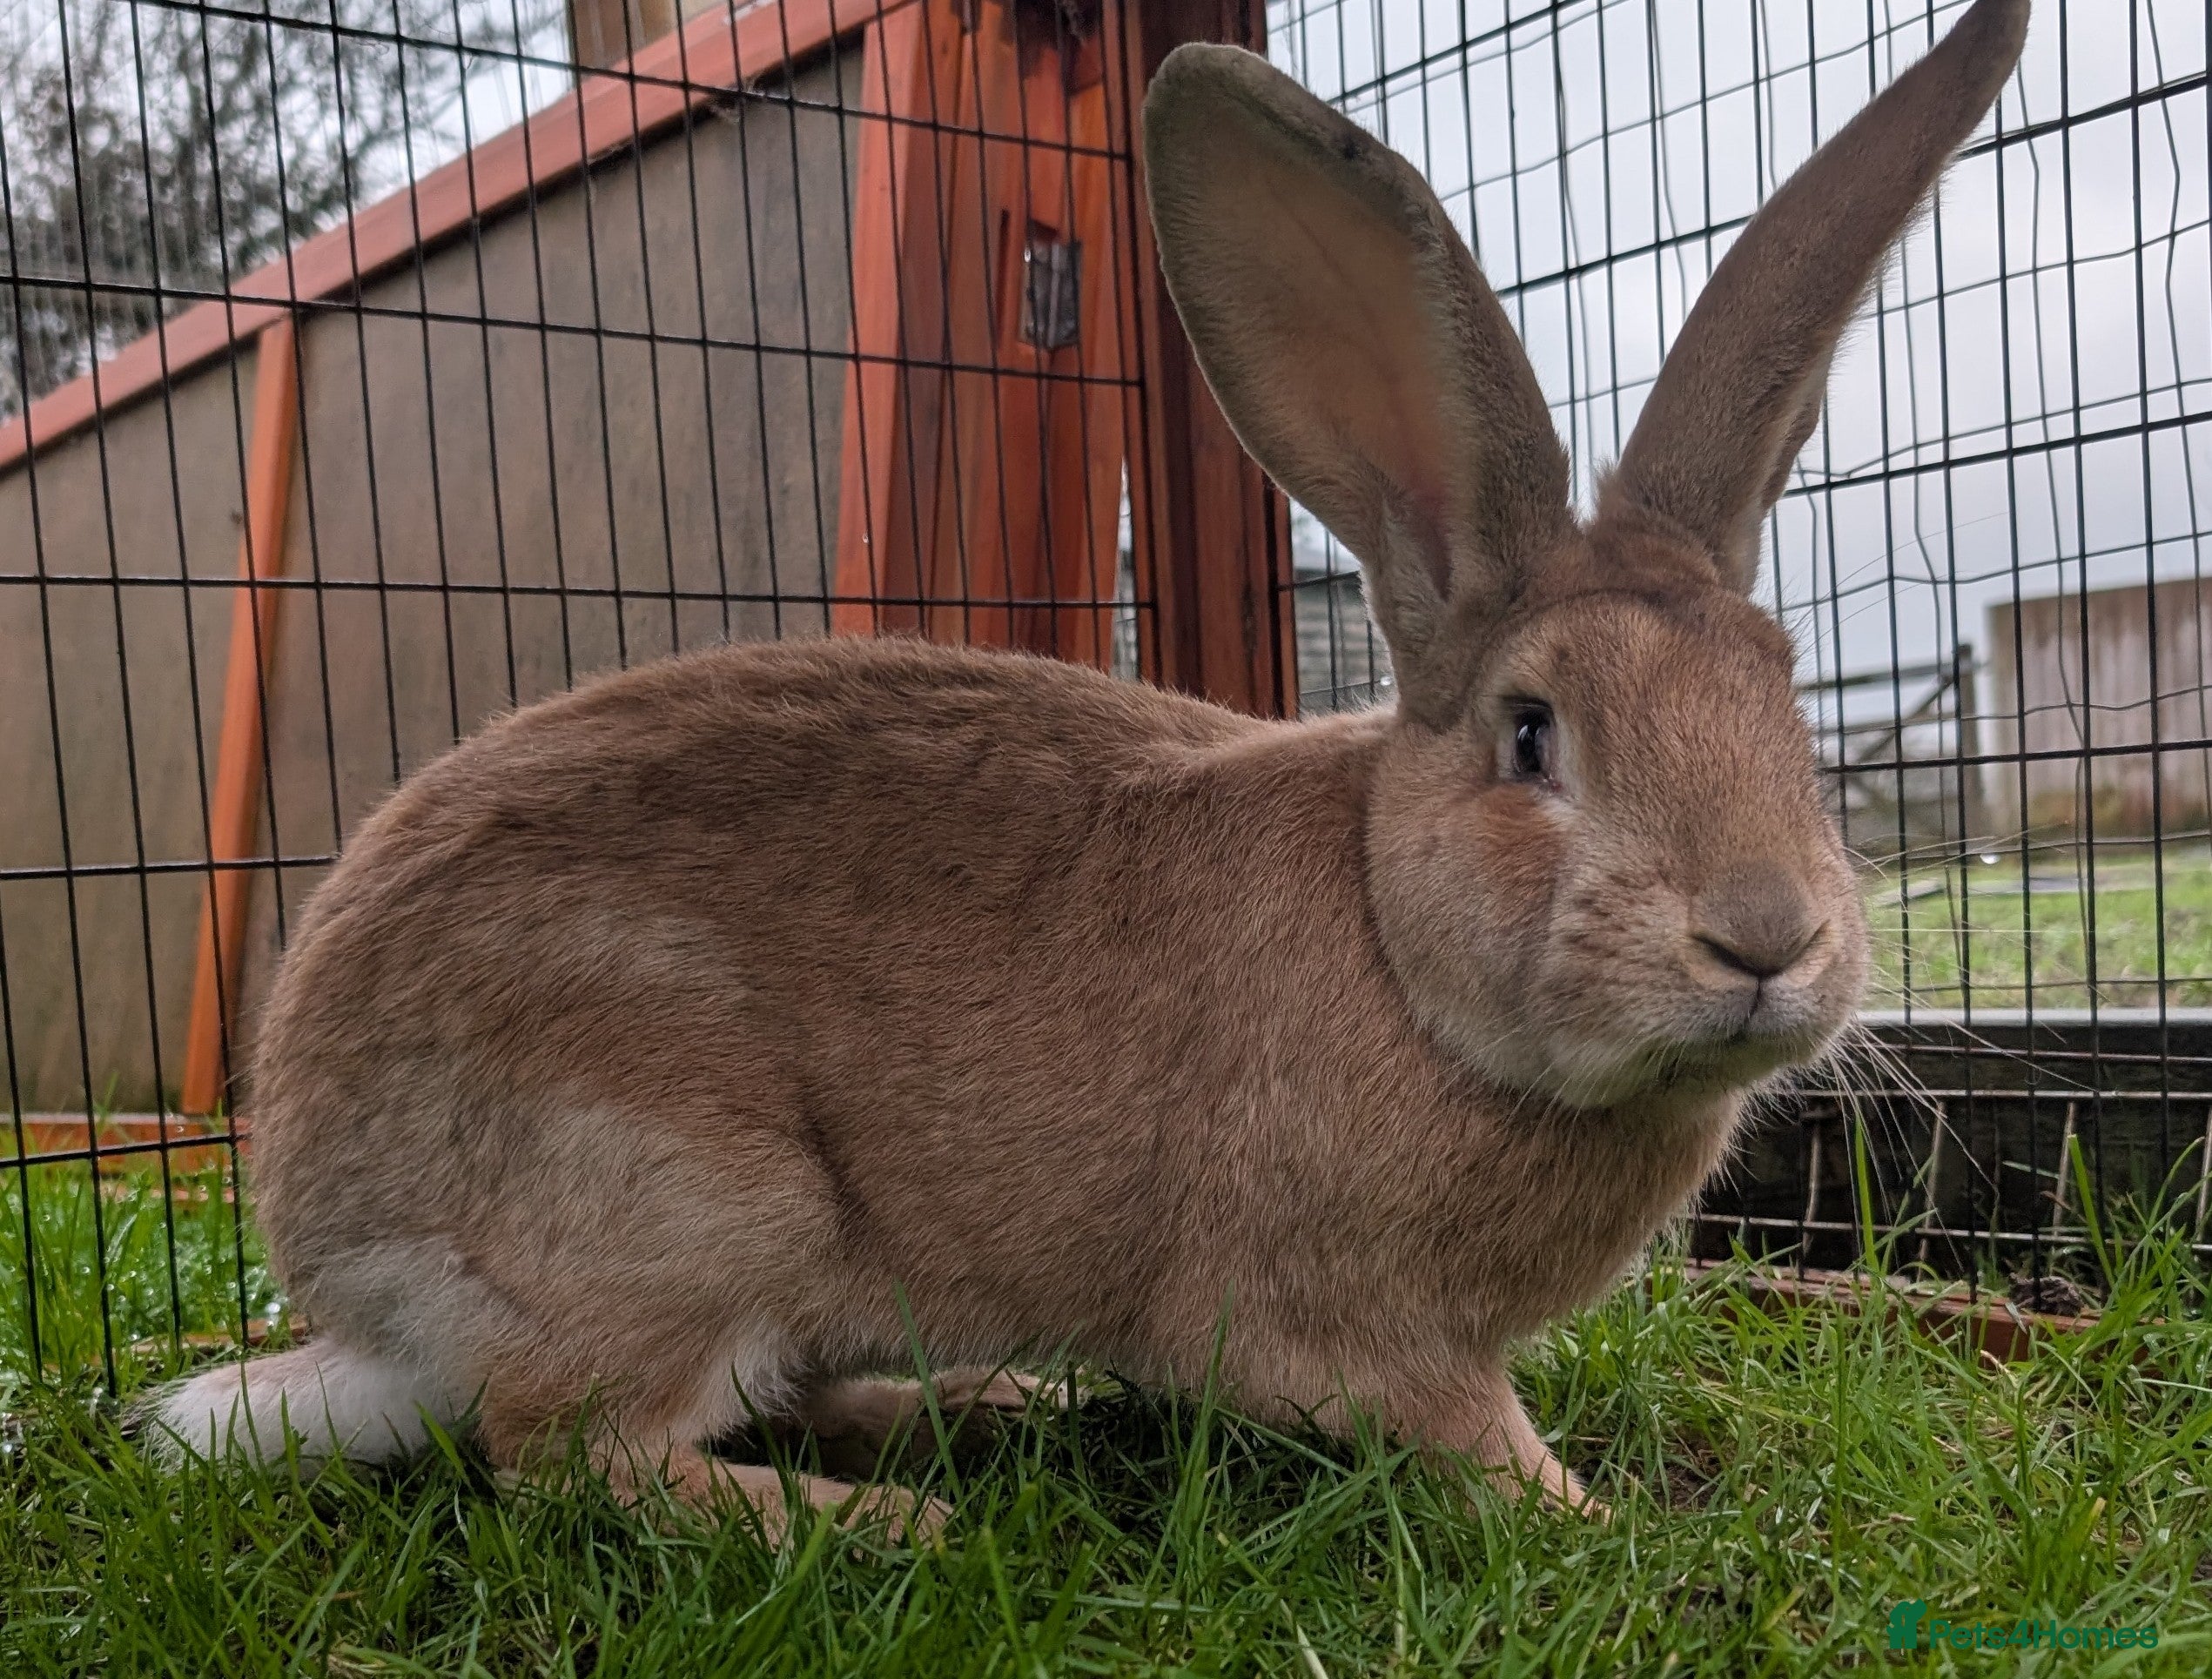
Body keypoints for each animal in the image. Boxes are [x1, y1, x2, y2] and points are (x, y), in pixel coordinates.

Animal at [143, 0, 2028, 1533]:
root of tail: (345, 1270)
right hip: (679, 1197)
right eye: (1530, 732)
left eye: (1786, 701)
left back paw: (983, 1407)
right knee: (565, 1453)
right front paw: (1588, 1512)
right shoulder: (1359, 1330)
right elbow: (1468, 1431)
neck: (1393, 944)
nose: (1767, 936)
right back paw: (870, 1521)